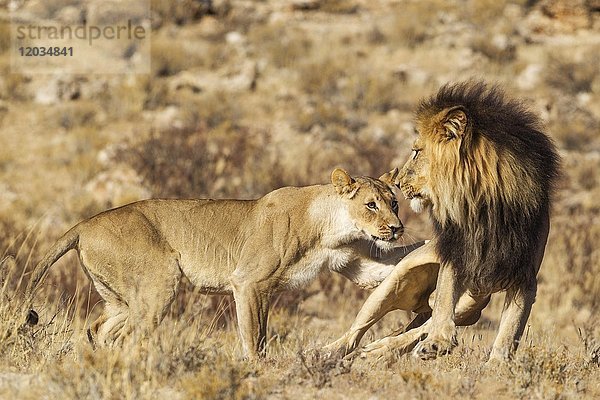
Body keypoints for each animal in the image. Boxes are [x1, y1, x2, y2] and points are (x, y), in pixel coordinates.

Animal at [25, 169, 420, 360]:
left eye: (393, 203)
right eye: (370, 205)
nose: (396, 228)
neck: (331, 226)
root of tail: (83, 224)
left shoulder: (351, 261)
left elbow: (387, 269)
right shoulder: (248, 282)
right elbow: (254, 335)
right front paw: (256, 368)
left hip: (122, 298)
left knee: (99, 329)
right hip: (160, 282)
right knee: (126, 336)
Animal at [326, 81, 560, 362]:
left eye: (417, 152)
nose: (397, 182)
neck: (483, 205)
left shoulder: (524, 276)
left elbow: (510, 329)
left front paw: (497, 363)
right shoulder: (454, 256)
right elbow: (445, 299)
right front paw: (438, 341)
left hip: (473, 301)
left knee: (420, 323)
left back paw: (382, 349)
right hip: (394, 283)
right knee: (359, 330)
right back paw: (329, 352)